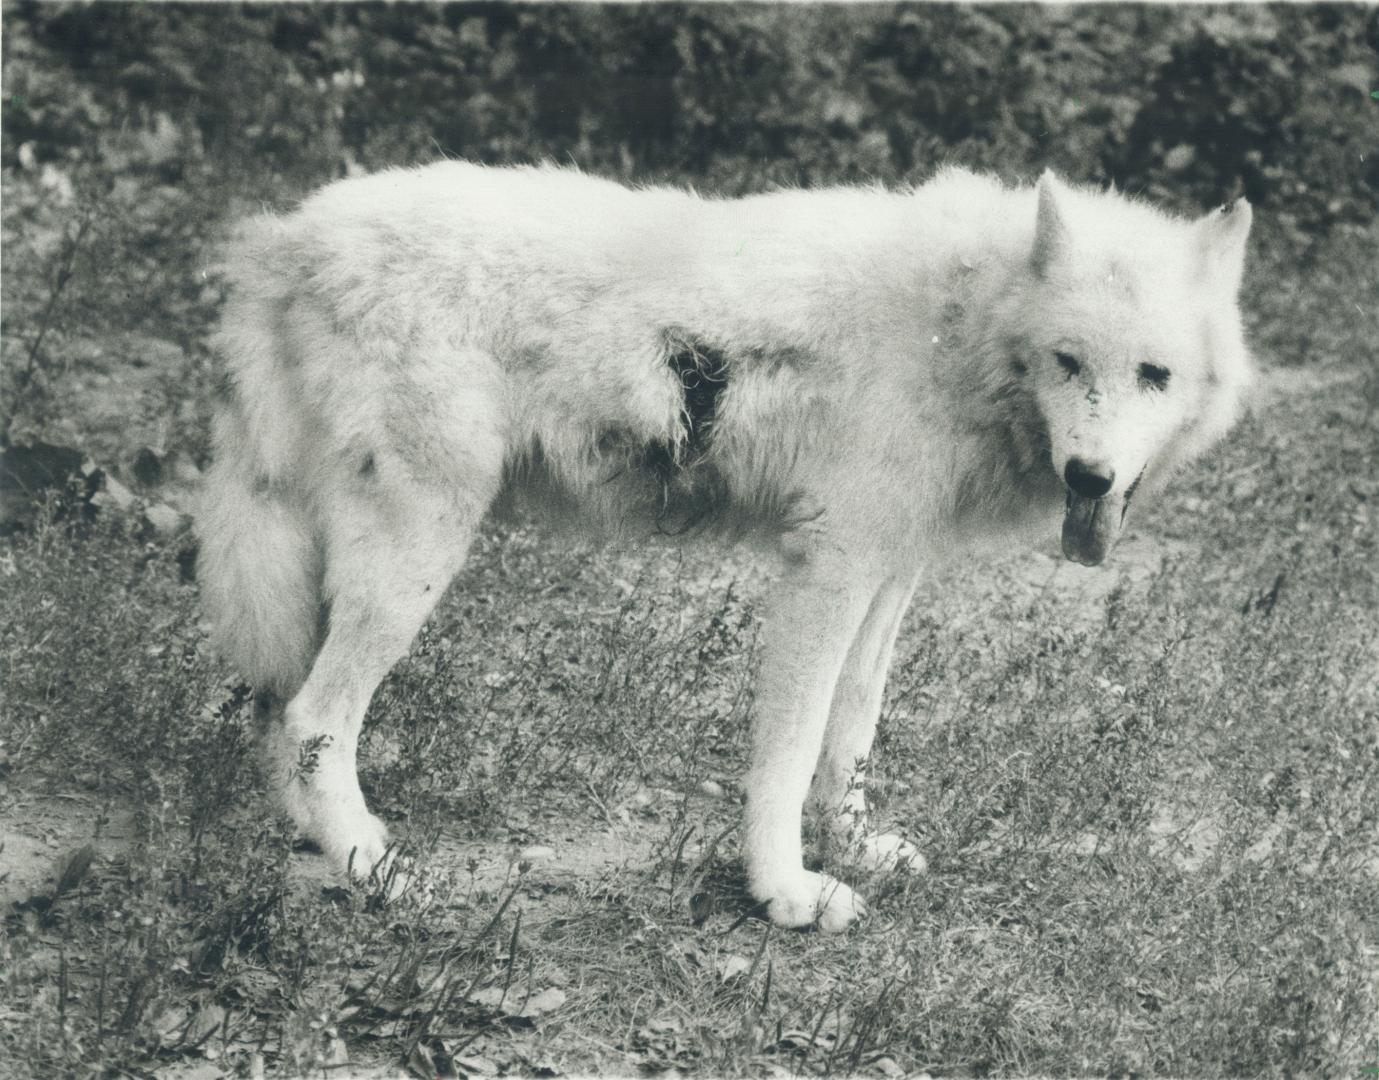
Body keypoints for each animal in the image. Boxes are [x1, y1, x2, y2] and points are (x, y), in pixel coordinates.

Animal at [197, 162, 1252, 931]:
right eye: (1069, 362)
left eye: (1153, 374)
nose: (1090, 478)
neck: (961, 323)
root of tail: (285, 239)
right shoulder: (826, 572)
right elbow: (787, 751)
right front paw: (784, 891)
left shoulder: (887, 575)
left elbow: (852, 732)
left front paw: (852, 847)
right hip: (416, 556)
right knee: (315, 716)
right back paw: (370, 868)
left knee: (281, 710)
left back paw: (318, 840)